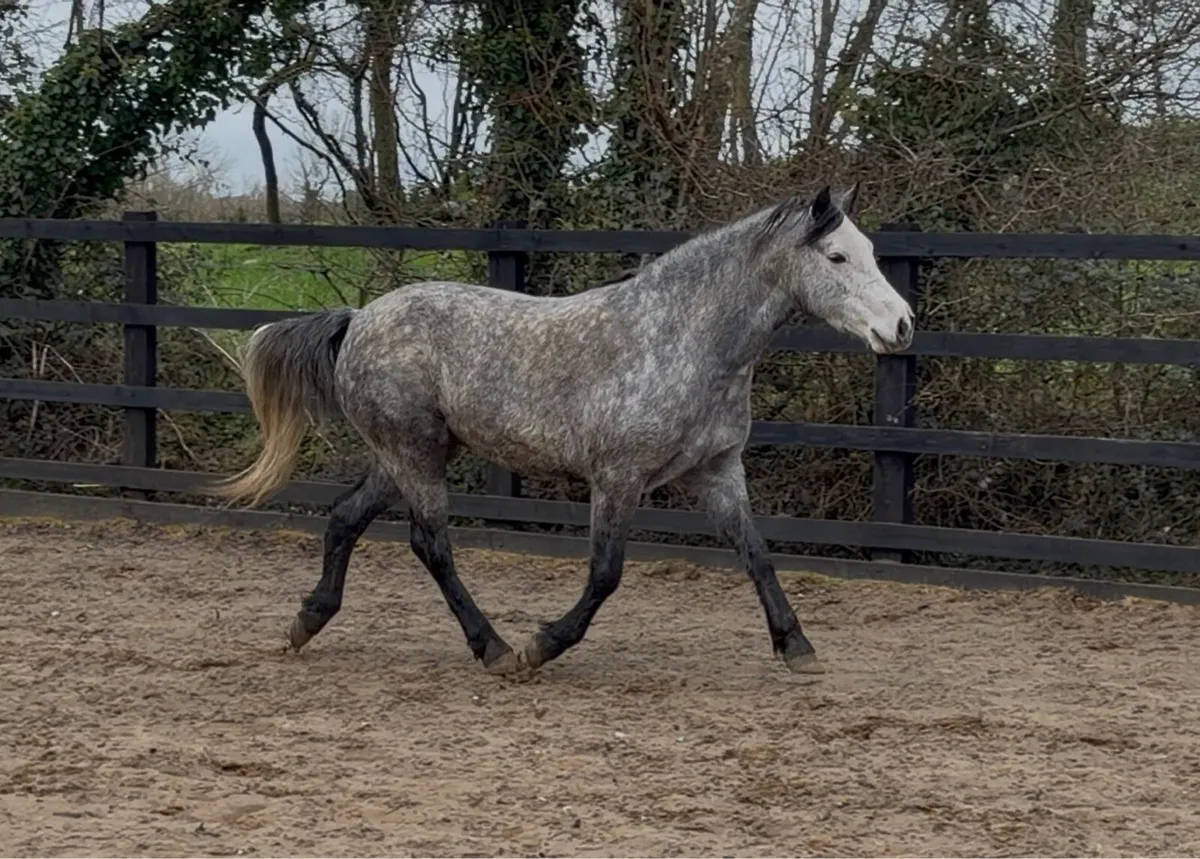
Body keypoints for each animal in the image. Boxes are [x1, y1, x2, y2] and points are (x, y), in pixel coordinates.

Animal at [211, 183, 914, 678]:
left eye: (874, 254)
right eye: (836, 255)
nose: (902, 326)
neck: (681, 340)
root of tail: (358, 319)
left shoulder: (716, 472)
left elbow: (758, 555)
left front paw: (797, 647)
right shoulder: (618, 478)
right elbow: (605, 575)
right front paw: (543, 645)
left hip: (405, 453)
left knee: (345, 518)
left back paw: (307, 622)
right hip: (414, 452)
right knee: (429, 543)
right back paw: (495, 648)